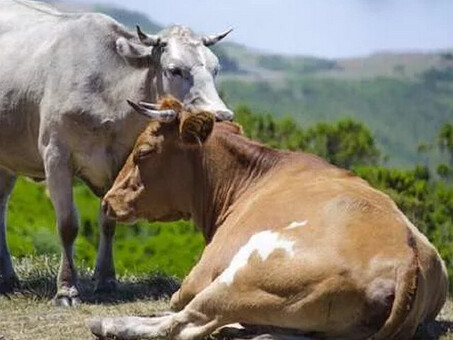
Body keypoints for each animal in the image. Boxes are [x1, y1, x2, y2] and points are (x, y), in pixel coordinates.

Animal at [0, 0, 231, 306]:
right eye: (174, 70)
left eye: (215, 69)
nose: (222, 115)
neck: (109, 91)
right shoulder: (56, 155)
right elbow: (67, 224)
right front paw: (66, 289)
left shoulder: (119, 160)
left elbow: (108, 220)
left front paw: (107, 281)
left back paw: (7, 277)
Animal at [87, 98, 444, 340]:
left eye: (143, 152)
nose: (108, 201)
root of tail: (405, 256)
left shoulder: (198, 276)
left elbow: (176, 302)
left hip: (247, 274)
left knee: (184, 323)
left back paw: (108, 323)